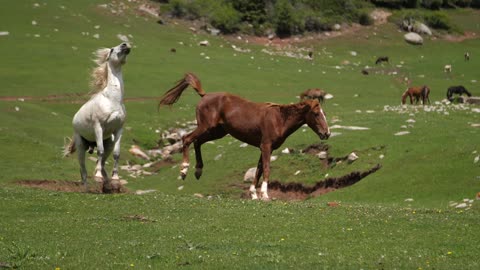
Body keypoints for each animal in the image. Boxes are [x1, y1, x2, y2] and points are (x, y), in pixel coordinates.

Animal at [63, 42, 132, 192]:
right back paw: (87, 189)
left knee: (102, 161)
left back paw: (107, 184)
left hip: (109, 143)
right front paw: (98, 177)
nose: (125, 45)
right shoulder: (98, 127)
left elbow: (117, 154)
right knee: (83, 170)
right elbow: (99, 151)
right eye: (112, 50)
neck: (112, 100)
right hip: (81, 146)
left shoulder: (119, 129)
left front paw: (115, 179)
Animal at [159, 73, 332, 199]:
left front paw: (254, 194)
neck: (279, 119)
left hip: (217, 132)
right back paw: (184, 170)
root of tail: (204, 95)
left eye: (324, 113)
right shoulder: (266, 146)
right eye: (316, 114)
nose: (327, 133)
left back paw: (198, 171)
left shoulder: (265, 148)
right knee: (187, 139)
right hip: (205, 126)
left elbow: (258, 170)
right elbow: (266, 168)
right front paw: (265, 195)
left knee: (197, 142)